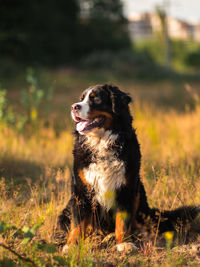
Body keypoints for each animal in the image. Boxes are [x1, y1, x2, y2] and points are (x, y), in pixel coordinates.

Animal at [58, 84, 199, 253]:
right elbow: (78, 222)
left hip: (138, 192)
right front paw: (71, 245)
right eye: (81, 99)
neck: (102, 143)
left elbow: (123, 221)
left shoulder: (125, 187)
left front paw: (124, 243)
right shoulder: (81, 190)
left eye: (95, 98)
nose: (74, 107)